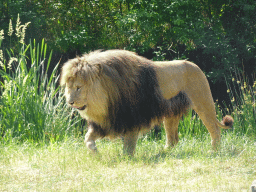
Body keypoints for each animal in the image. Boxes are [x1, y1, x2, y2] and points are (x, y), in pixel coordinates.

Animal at [60, 49, 234, 156]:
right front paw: (95, 154)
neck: (106, 97)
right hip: (170, 115)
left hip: (203, 103)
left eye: (78, 87)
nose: (70, 102)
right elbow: (87, 138)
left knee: (214, 130)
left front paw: (126, 159)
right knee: (173, 139)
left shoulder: (131, 118)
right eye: (68, 87)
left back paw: (214, 151)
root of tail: (196, 66)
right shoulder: (106, 121)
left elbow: (129, 144)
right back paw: (162, 153)